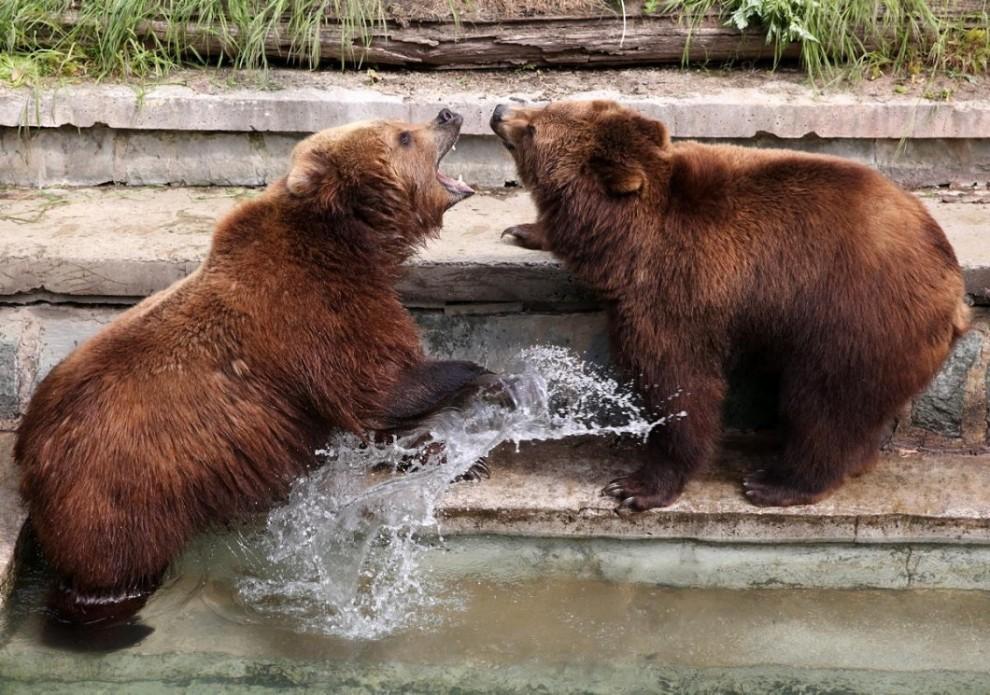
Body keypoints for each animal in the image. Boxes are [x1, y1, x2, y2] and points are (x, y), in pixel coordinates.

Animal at [492, 99, 972, 512]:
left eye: (534, 128)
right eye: (550, 104)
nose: (500, 112)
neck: (626, 237)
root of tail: (954, 291)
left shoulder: (677, 292)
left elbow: (680, 383)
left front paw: (636, 485)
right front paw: (524, 230)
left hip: (856, 322)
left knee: (825, 406)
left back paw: (777, 482)